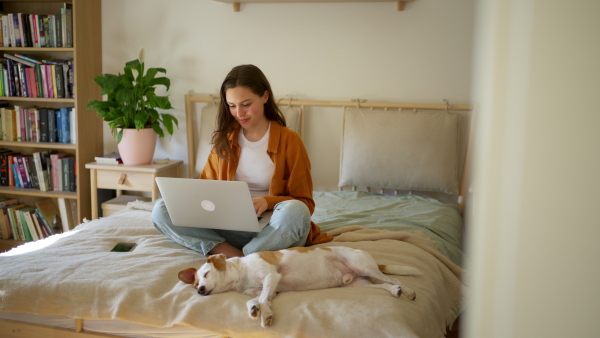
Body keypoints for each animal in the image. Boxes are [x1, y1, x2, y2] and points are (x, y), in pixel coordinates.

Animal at [179, 246, 418, 328]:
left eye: (206, 274)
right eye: (196, 283)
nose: (200, 290)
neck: (242, 273)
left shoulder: (271, 276)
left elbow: (263, 298)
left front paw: (265, 314)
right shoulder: (269, 290)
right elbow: (257, 300)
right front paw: (257, 311)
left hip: (363, 266)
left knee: (394, 280)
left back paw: (407, 291)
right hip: (359, 284)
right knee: (383, 286)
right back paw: (395, 292)